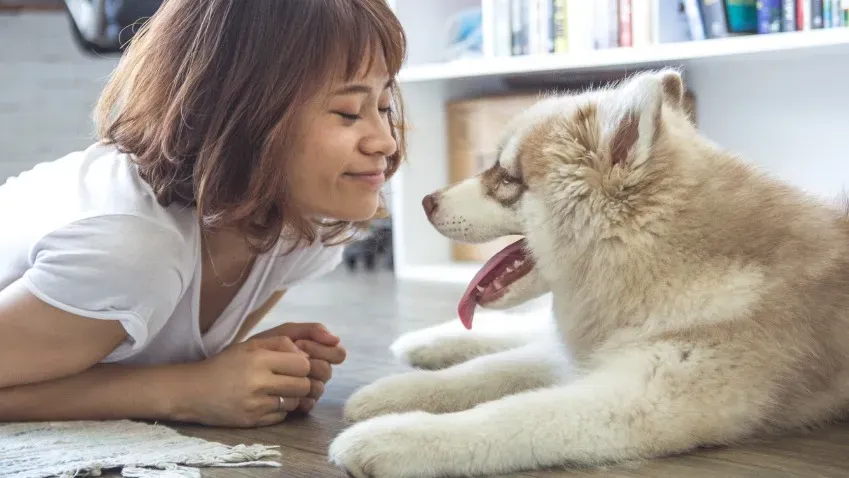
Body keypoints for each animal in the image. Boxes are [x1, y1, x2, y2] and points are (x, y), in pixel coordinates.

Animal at [328, 68, 848, 478]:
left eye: (507, 178)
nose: (424, 201)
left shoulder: (640, 397)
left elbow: (510, 415)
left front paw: (393, 437)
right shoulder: (592, 355)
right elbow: (485, 372)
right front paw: (394, 392)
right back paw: (426, 343)